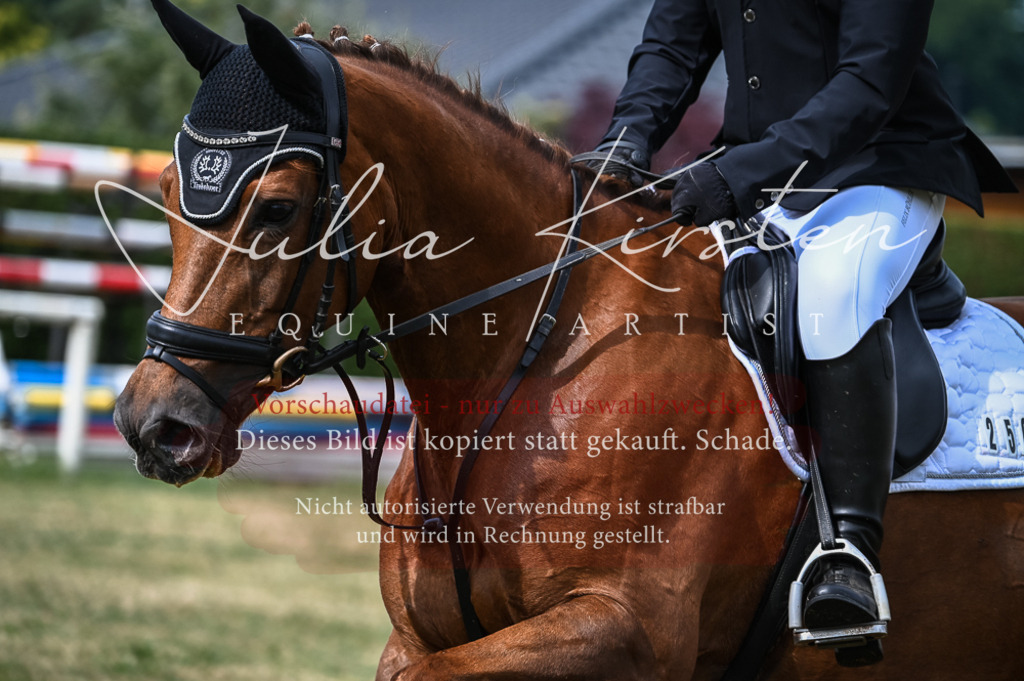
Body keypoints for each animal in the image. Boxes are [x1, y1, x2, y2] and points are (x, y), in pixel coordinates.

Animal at [114, 4, 1024, 679]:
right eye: (169, 193)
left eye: (275, 208)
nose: (154, 424)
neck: (533, 353)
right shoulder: (424, 634)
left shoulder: (623, 629)